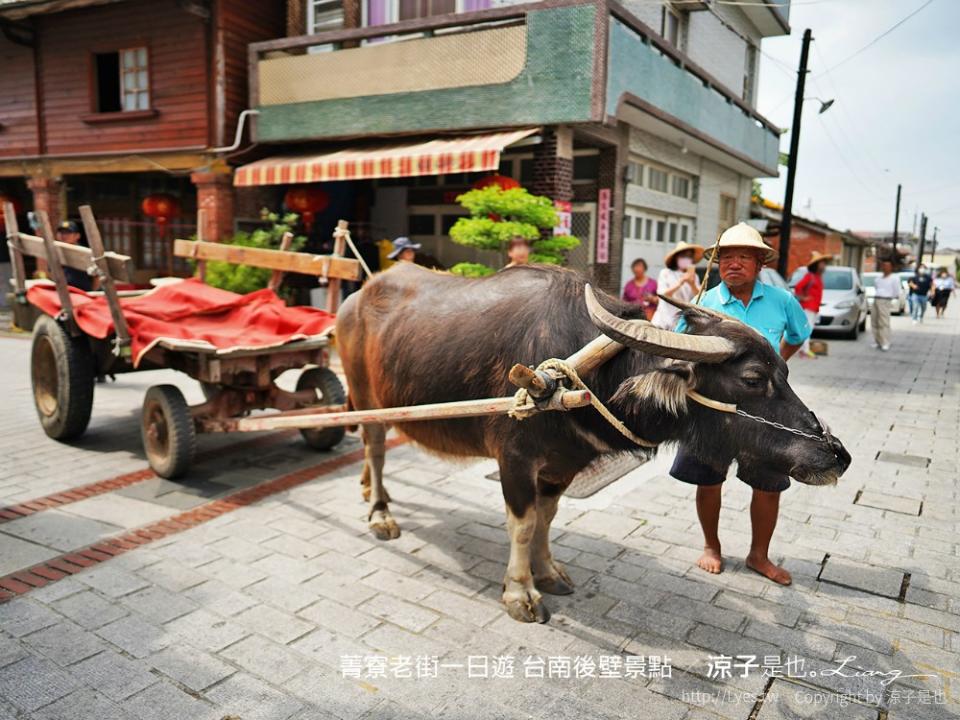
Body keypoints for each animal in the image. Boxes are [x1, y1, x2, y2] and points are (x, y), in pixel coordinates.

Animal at [336, 262, 848, 620]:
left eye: (784, 369)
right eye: (753, 379)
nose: (836, 454)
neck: (582, 373)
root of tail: (356, 297)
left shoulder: (562, 465)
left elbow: (546, 519)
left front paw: (548, 572)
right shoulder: (514, 461)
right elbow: (522, 525)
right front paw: (520, 591)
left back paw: (366, 491)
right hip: (366, 396)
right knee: (375, 448)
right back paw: (380, 512)